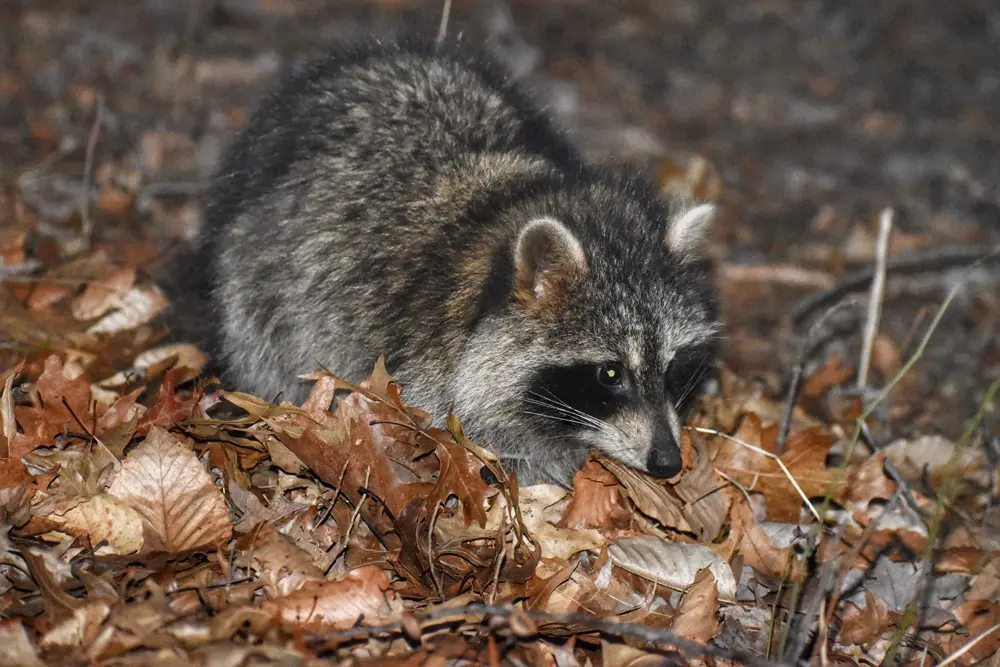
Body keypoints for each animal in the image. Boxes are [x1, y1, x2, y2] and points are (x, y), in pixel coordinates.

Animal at [176, 35, 724, 486]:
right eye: (610, 374)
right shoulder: (422, 366)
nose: (669, 462)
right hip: (258, 284)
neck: (514, 207)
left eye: (674, 366)